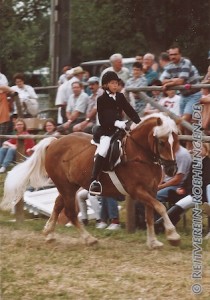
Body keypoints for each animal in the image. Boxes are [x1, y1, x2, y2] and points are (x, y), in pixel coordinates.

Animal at [0, 112, 180, 248]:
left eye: (176, 141)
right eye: (162, 142)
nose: (171, 170)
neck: (140, 154)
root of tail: (55, 142)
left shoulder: (151, 190)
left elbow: (151, 214)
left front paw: (153, 241)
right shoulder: (137, 190)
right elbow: (160, 207)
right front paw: (173, 235)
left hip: (69, 186)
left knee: (58, 205)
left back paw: (49, 233)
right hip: (65, 186)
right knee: (70, 212)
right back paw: (89, 239)